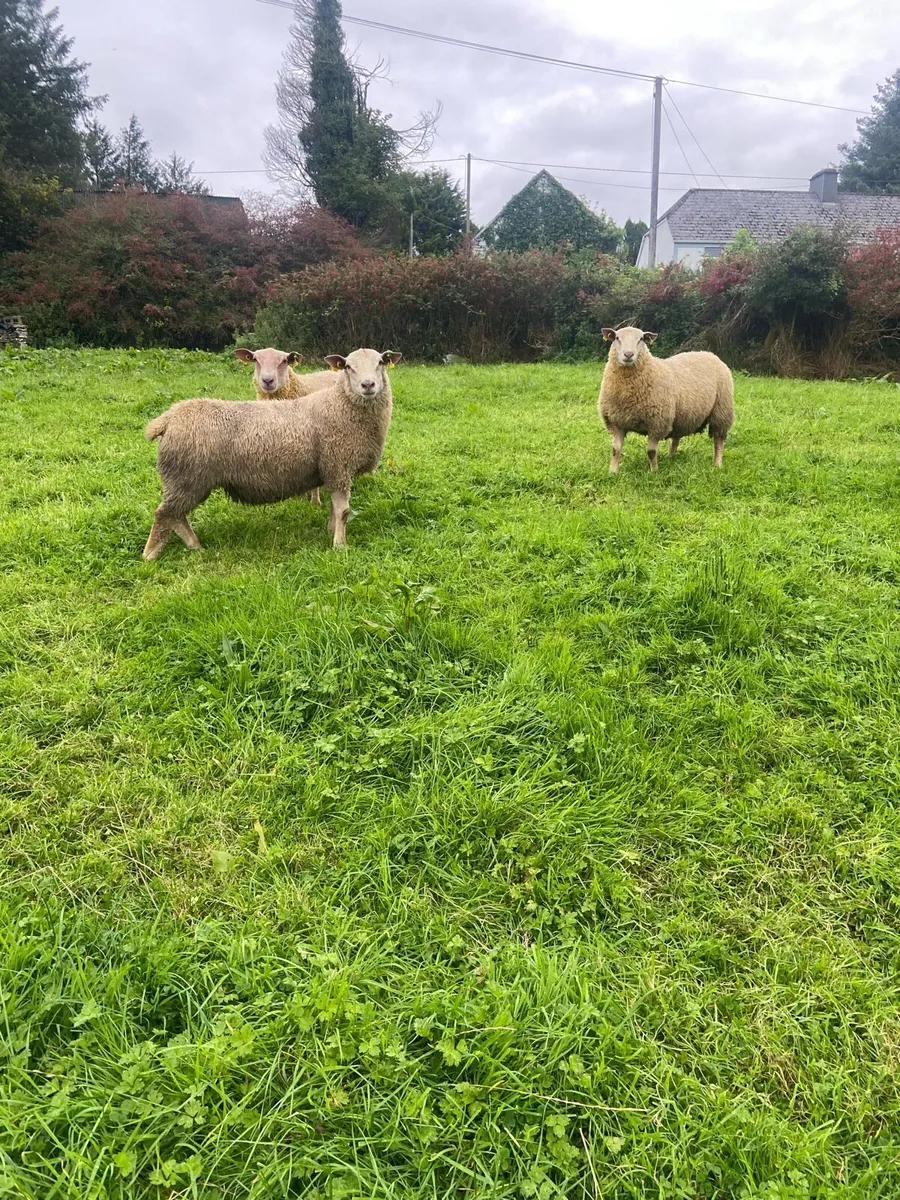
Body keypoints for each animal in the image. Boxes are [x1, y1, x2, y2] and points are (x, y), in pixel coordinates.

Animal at [598, 326, 734, 472]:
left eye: (641, 339)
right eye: (617, 338)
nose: (628, 355)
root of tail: (710, 354)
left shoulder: (657, 423)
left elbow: (651, 452)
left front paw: (654, 472)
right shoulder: (615, 422)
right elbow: (615, 450)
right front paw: (613, 471)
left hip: (721, 410)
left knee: (719, 441)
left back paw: (717, 464)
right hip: (681, 416)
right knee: (676, 438)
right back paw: (670, 458)